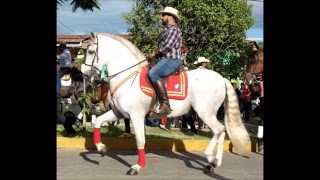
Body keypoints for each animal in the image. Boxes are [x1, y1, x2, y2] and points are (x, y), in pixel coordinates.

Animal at [82, 32, 250, 174]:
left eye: (90, 52)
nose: (84, 74)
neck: (128, 77)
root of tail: (221, 78)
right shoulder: (119, 112)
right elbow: (98, 121)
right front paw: (101, 148)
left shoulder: (136, 115)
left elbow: (140, 140)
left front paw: (137, 166)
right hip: (210, 113)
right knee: (222, 132)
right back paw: (215, 163)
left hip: (204, 112)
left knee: (219, 130)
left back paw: (210, 157)